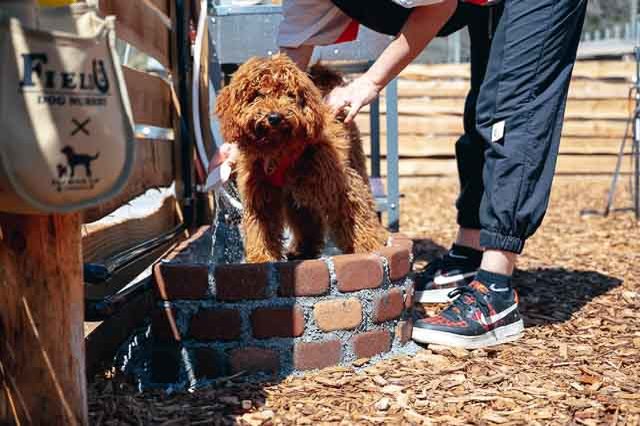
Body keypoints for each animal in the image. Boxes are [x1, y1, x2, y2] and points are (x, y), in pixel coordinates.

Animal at [215, 54, 388, 262]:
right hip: (297, 192)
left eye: (289, 95)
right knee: (306, 219)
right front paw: (262, 257)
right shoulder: (260, 193)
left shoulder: (337, 184)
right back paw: (303, 250)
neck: (278, 150)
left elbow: (354, 215)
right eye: (257, 95)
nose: (274, 117)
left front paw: (368, 247)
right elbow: (261, 228)